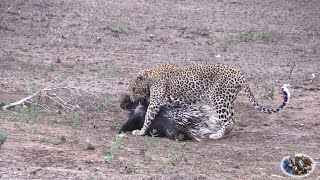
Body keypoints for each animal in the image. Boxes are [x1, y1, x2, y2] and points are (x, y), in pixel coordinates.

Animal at [128, 64, 290, 140]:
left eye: (134, 88)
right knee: (232, 119)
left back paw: (216, 136)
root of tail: (239, 74)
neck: (150, 75)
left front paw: (140, 132)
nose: (132, 99)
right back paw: (220, 133)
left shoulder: (155, 102)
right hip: (228, 100)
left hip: (219, 99)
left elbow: (148, 116)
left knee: (228, 121)